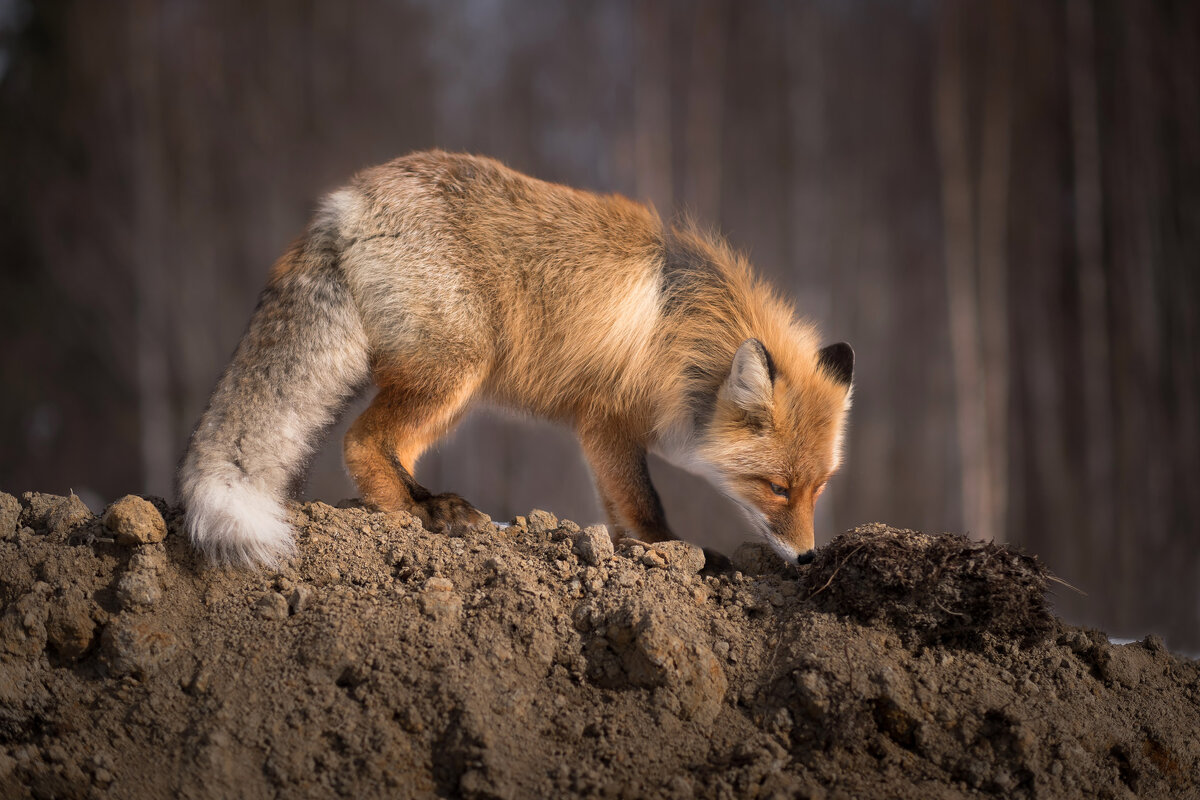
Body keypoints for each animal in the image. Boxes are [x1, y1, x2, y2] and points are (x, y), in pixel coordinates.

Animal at [177, 151, 854, 568]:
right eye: (775, 487)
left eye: (819, 488)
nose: (809, 557)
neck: (686, 331)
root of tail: (346, 199)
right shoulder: (607, 420)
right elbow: (645, 506)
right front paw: (675, 554)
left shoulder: (603, 436)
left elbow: (618, 513)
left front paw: (630, 552)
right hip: (452, 371)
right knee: (361, 443)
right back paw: (421, 514)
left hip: (452, 393)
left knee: (392, 449)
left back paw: (439, 507)